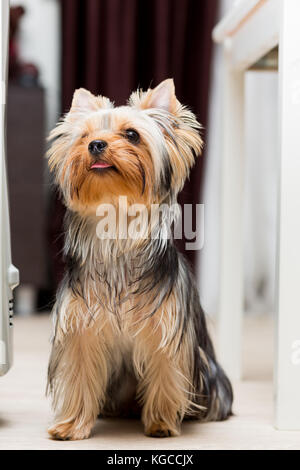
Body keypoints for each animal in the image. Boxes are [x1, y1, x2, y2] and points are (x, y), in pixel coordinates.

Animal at [46, 79, 232, 438]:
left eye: (131, 134)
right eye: (84, 136)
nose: (96, 144)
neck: (117, 227)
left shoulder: (166, 327)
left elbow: (165, 372)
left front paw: (160, 423)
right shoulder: (79, 327)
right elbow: (79, 373)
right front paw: (71, 426)